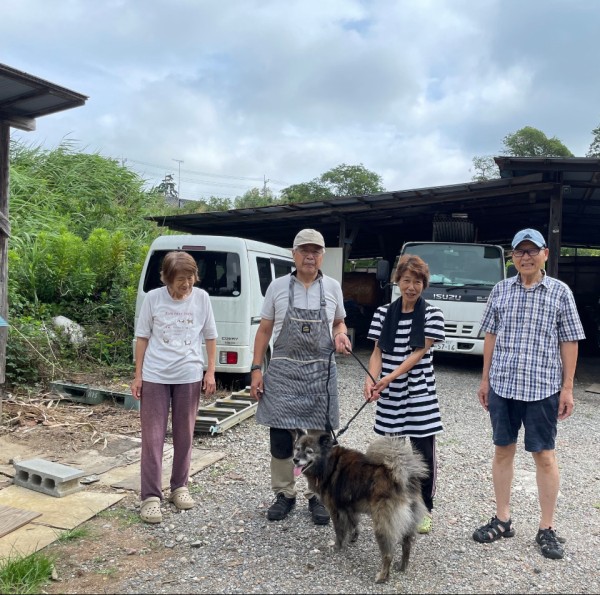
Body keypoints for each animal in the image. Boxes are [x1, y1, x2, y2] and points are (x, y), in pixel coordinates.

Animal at [294, 430, 426, 584]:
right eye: (297, 448)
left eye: (309, 451)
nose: (295, 460)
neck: (327, 462)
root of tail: (403, 478)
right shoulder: (349, 507)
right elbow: (354, 523)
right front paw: (353, 537)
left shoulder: (335, 510)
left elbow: (339, 530)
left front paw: (337, 546)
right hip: (409, 523)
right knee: (406, 546)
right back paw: (402, 566)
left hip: (382, 525)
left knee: (388, 554)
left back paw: (382, 577)